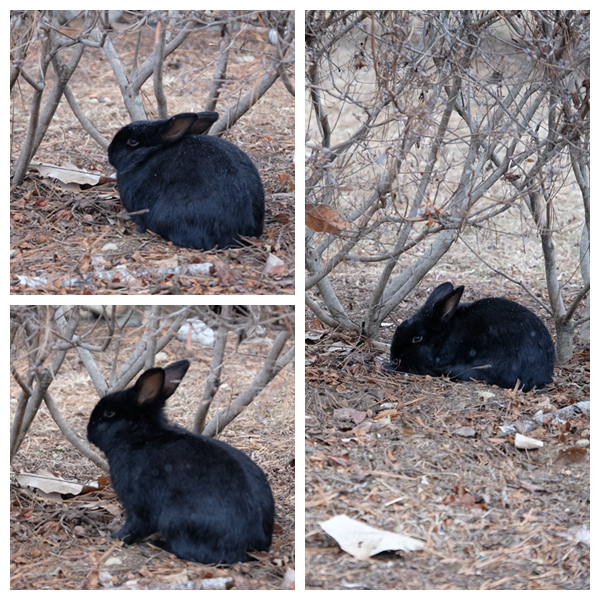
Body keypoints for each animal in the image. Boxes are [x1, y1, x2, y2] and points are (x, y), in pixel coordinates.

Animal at [86, 358, 274, 564]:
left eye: (110, 413)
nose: (89, 430)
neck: (139, 437)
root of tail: (250, 546)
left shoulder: (138, 502)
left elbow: (136, 524)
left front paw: (116, 537)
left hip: (176, 520)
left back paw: (158, 544)